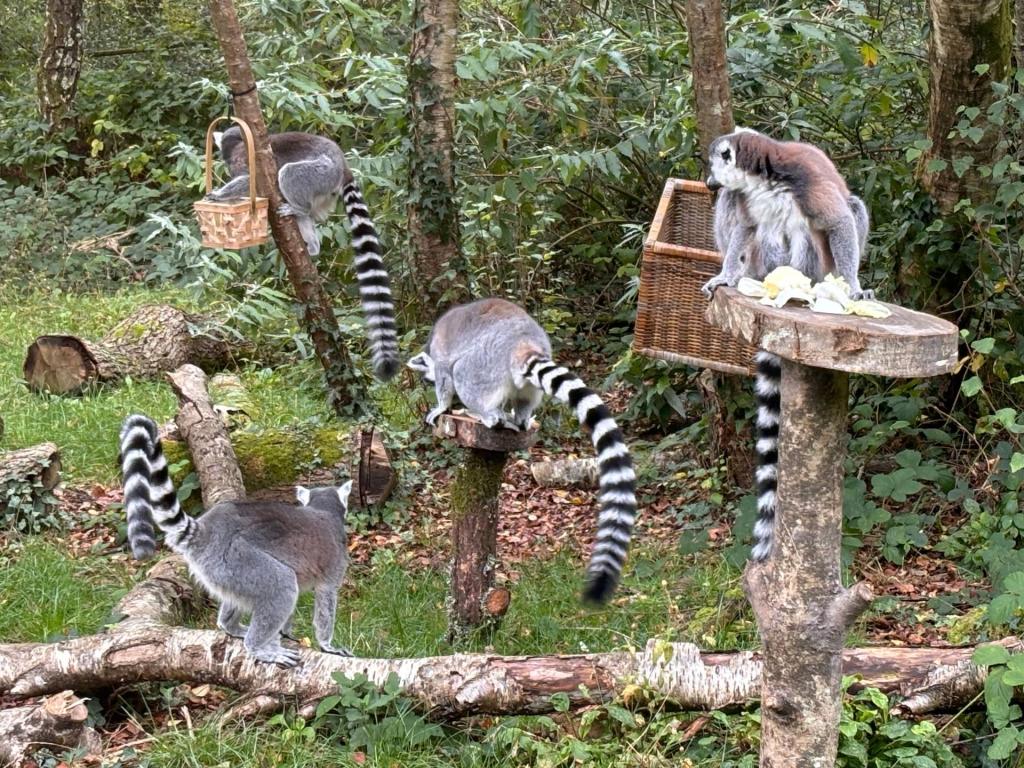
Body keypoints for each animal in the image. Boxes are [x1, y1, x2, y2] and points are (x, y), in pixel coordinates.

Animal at [119, 414, 353, 666]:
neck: (324, 511)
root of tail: (207, 530)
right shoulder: (333, 568)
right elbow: (325, 602)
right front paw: (328, 645)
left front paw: (286, 632)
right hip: (238, 558)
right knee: (282, 585)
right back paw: (260, 648)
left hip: (227, 573)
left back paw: (232, 627)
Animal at [206, 128, 399, 381]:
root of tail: (342, 165)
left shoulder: (244, 161)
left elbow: (248, 182)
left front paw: (218, 196)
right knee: (303, 215)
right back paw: (311, 245)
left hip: (320, 173)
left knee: (290, 175)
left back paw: (297, 208)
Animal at [405, 298, 637, 603]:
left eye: (429, 380)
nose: (426, 382)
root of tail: (523, 342)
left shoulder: (444, 359)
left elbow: (446, 378)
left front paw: (441, 407)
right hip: (526, 388)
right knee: (523, 401)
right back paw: (519, 420)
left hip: (483, 366)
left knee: (465, 375)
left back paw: (485, 415)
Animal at [699, 128, 873, 562]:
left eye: (712, 165)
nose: (709, 183)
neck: (763, 180)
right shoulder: (745, 199)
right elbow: (744, 226)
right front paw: (726, 276)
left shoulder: (808, 182)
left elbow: (840, 221)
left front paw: (852, 290)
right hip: (758, 252)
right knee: (751, 225)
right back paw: (759, 279)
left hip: (818, 259)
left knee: (848, 209)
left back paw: (807, 287)